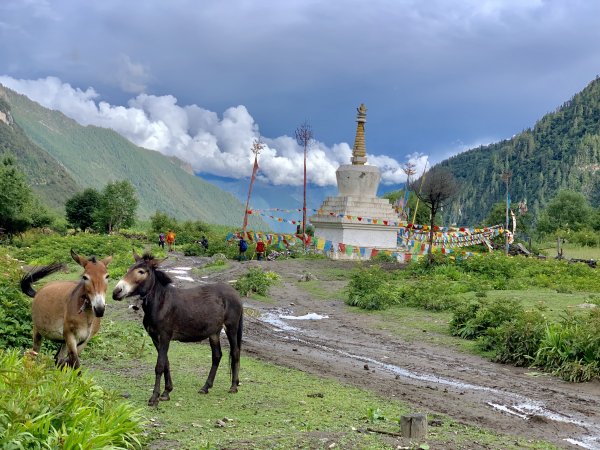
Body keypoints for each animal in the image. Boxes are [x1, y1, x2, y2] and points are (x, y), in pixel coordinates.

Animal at [111, 251, 243, 406]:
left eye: (141, 272)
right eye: (128, 269)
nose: (116, 292)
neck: (160, 303)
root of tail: (234, 292)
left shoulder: (165, 336)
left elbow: (159, 365)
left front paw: (154, 397)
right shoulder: (155, 337)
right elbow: (166, 363)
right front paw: (166, 392)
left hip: (231, 327)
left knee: (235, 352)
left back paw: (233, 386)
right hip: (214, 331)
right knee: (217, 356)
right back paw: (205, 387)